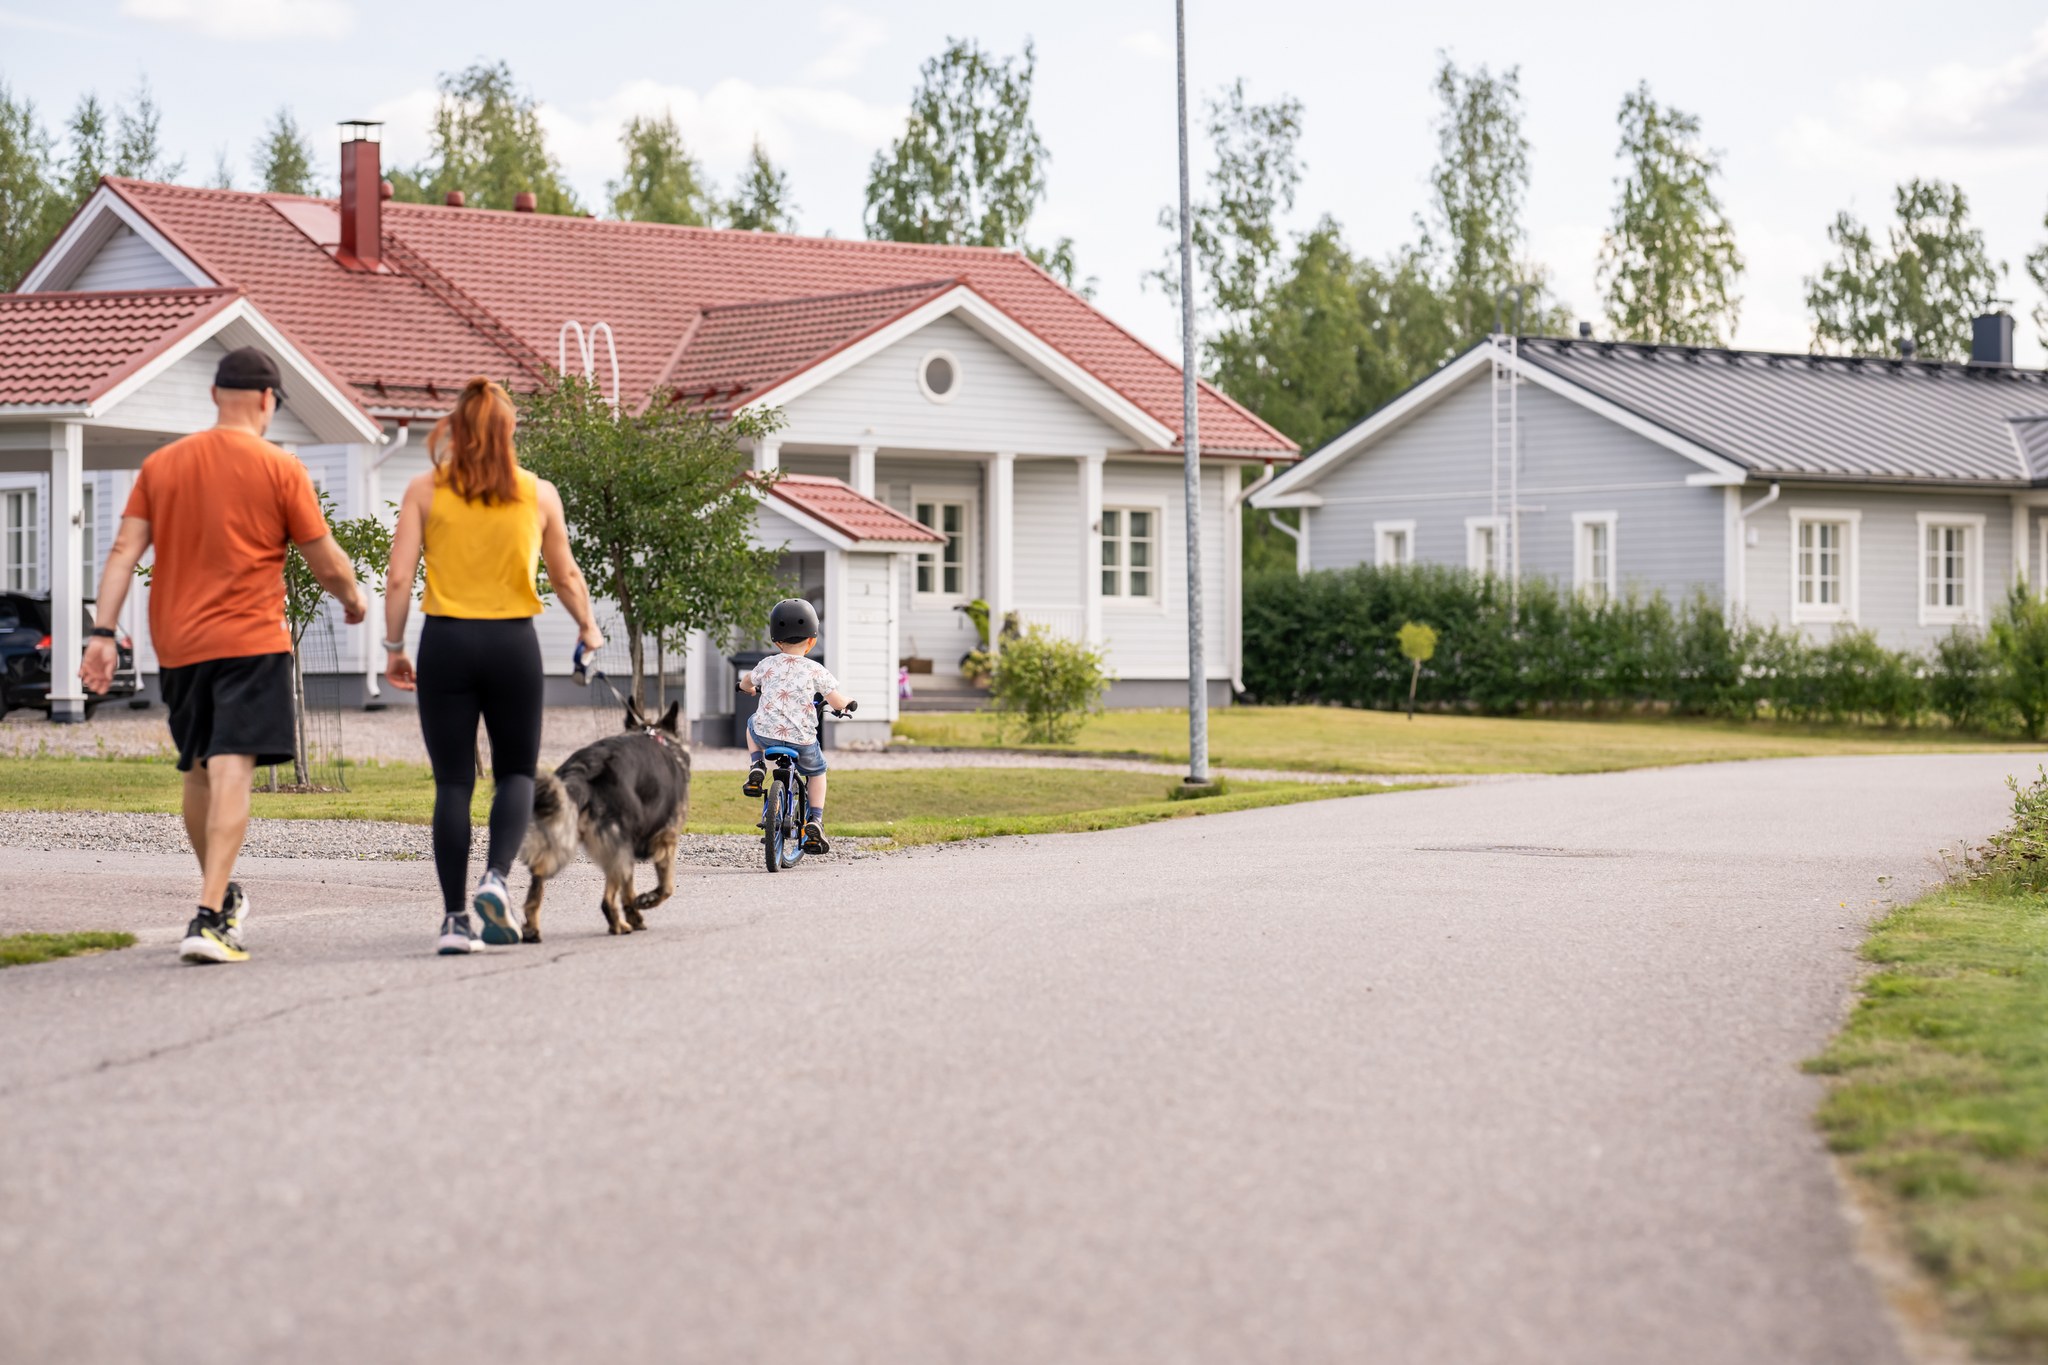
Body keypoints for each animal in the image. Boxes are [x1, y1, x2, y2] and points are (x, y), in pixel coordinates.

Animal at [520, 703, 688, 941]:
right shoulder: (666, 838)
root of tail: (587, 768)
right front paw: (646, 902)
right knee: (607, 901)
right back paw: (617, 925)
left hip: (564, 838)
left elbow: (629, 890)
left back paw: (531, 929)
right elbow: (666, 887)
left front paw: (635, 915)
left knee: (537, 882)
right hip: (617, 845)